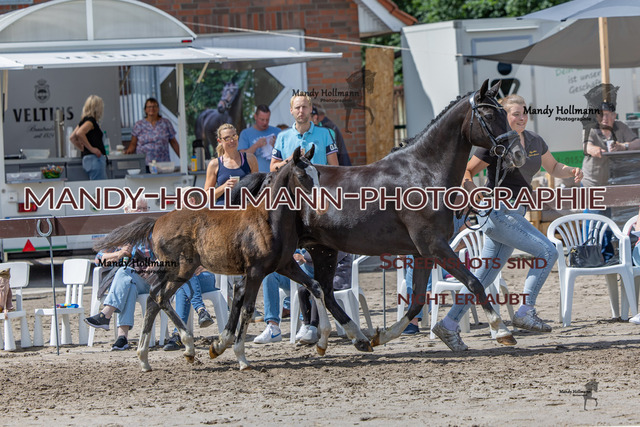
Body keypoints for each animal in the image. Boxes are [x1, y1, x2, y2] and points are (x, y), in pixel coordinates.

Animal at [93, 147, 333, 372]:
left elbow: (315, 286)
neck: (268, 220)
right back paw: (178, 348)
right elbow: (247, 309)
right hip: (179, 270)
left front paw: (322, 343)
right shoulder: (255, 271)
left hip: (178, 271)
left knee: (156, 299)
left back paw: (155, 357)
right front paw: (241, 358)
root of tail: (157, 222)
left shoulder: (285, 265)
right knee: (158, 297)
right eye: (302, 175)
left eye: (319, 174)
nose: (322, 206)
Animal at [229, 80, 526, 357]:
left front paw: (381, 336)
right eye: (489, 115)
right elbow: (474, 282)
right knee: (257, 287)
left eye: (504, 112)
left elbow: (417, 300)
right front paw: (502, 330)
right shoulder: (434, 246)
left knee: (322, 290)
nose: (517, 154)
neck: (424, 172)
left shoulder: (423, 252)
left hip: (322, 250)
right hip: (280, 254)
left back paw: (357, 338)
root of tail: (270, 177)